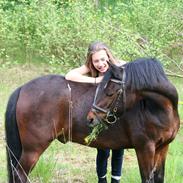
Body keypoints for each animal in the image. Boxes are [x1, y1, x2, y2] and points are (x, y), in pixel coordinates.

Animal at [5, 57, 179, 183]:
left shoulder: (162, 148)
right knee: (20, 175)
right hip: (32, 149)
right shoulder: (144, 149)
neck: (156, 109)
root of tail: (22, 88)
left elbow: (159, 178)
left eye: (110, 92)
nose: (90, 118)